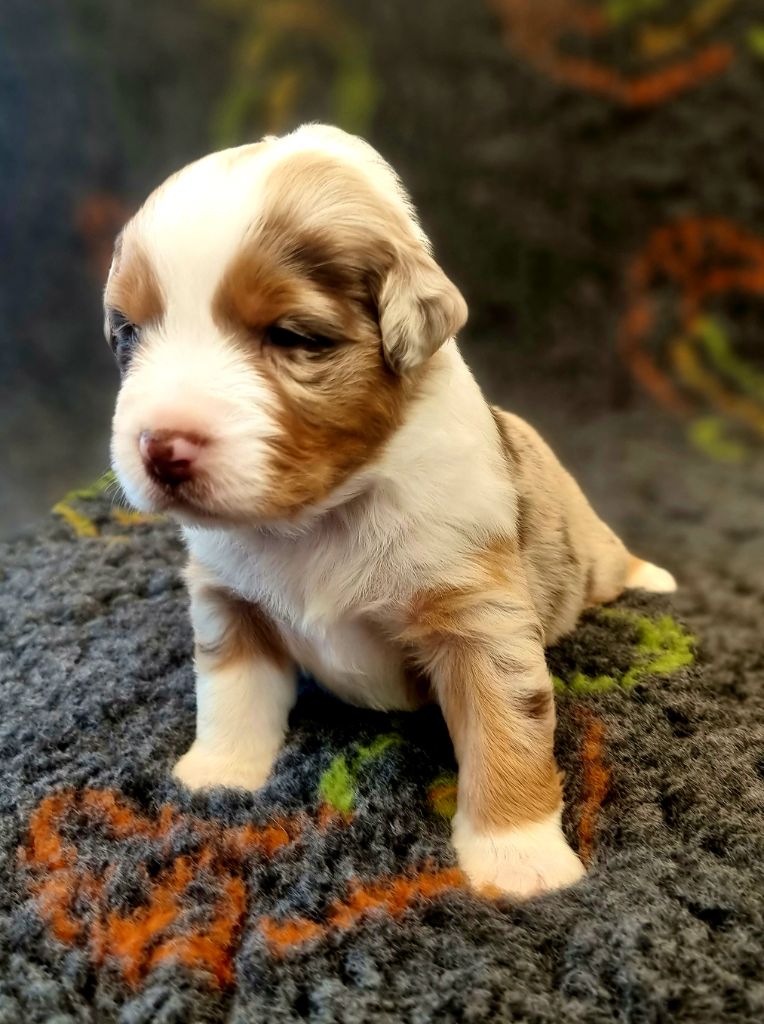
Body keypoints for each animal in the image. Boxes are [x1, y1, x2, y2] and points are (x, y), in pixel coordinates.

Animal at [107, 124, 675, 898]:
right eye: (130, 335)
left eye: (295, 337)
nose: (160, 449)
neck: (322, 515)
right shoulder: (229, 598)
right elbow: (230, 693)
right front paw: (219, 775)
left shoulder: (481, 617)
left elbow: (509, 727)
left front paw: (519, 859)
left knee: (612, 561)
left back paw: (653, 578)